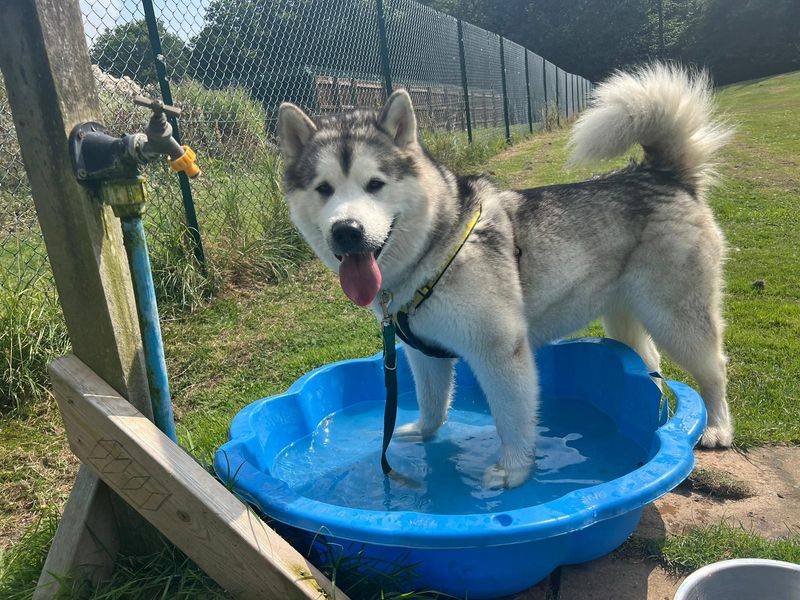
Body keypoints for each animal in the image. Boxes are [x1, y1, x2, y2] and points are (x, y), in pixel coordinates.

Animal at [278, 64, 736, 488]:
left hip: (674, 316)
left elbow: (512, 419)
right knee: (650, 362)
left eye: (375, 184)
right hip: (624, 314)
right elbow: (432, 403)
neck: (433, 250)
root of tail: (662, 174)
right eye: (324, 189)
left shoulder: (499, 352)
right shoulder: (423, 355)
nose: (347, 230)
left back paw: (716, 427)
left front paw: (514, 472)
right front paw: (424, 433)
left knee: (712, 367)